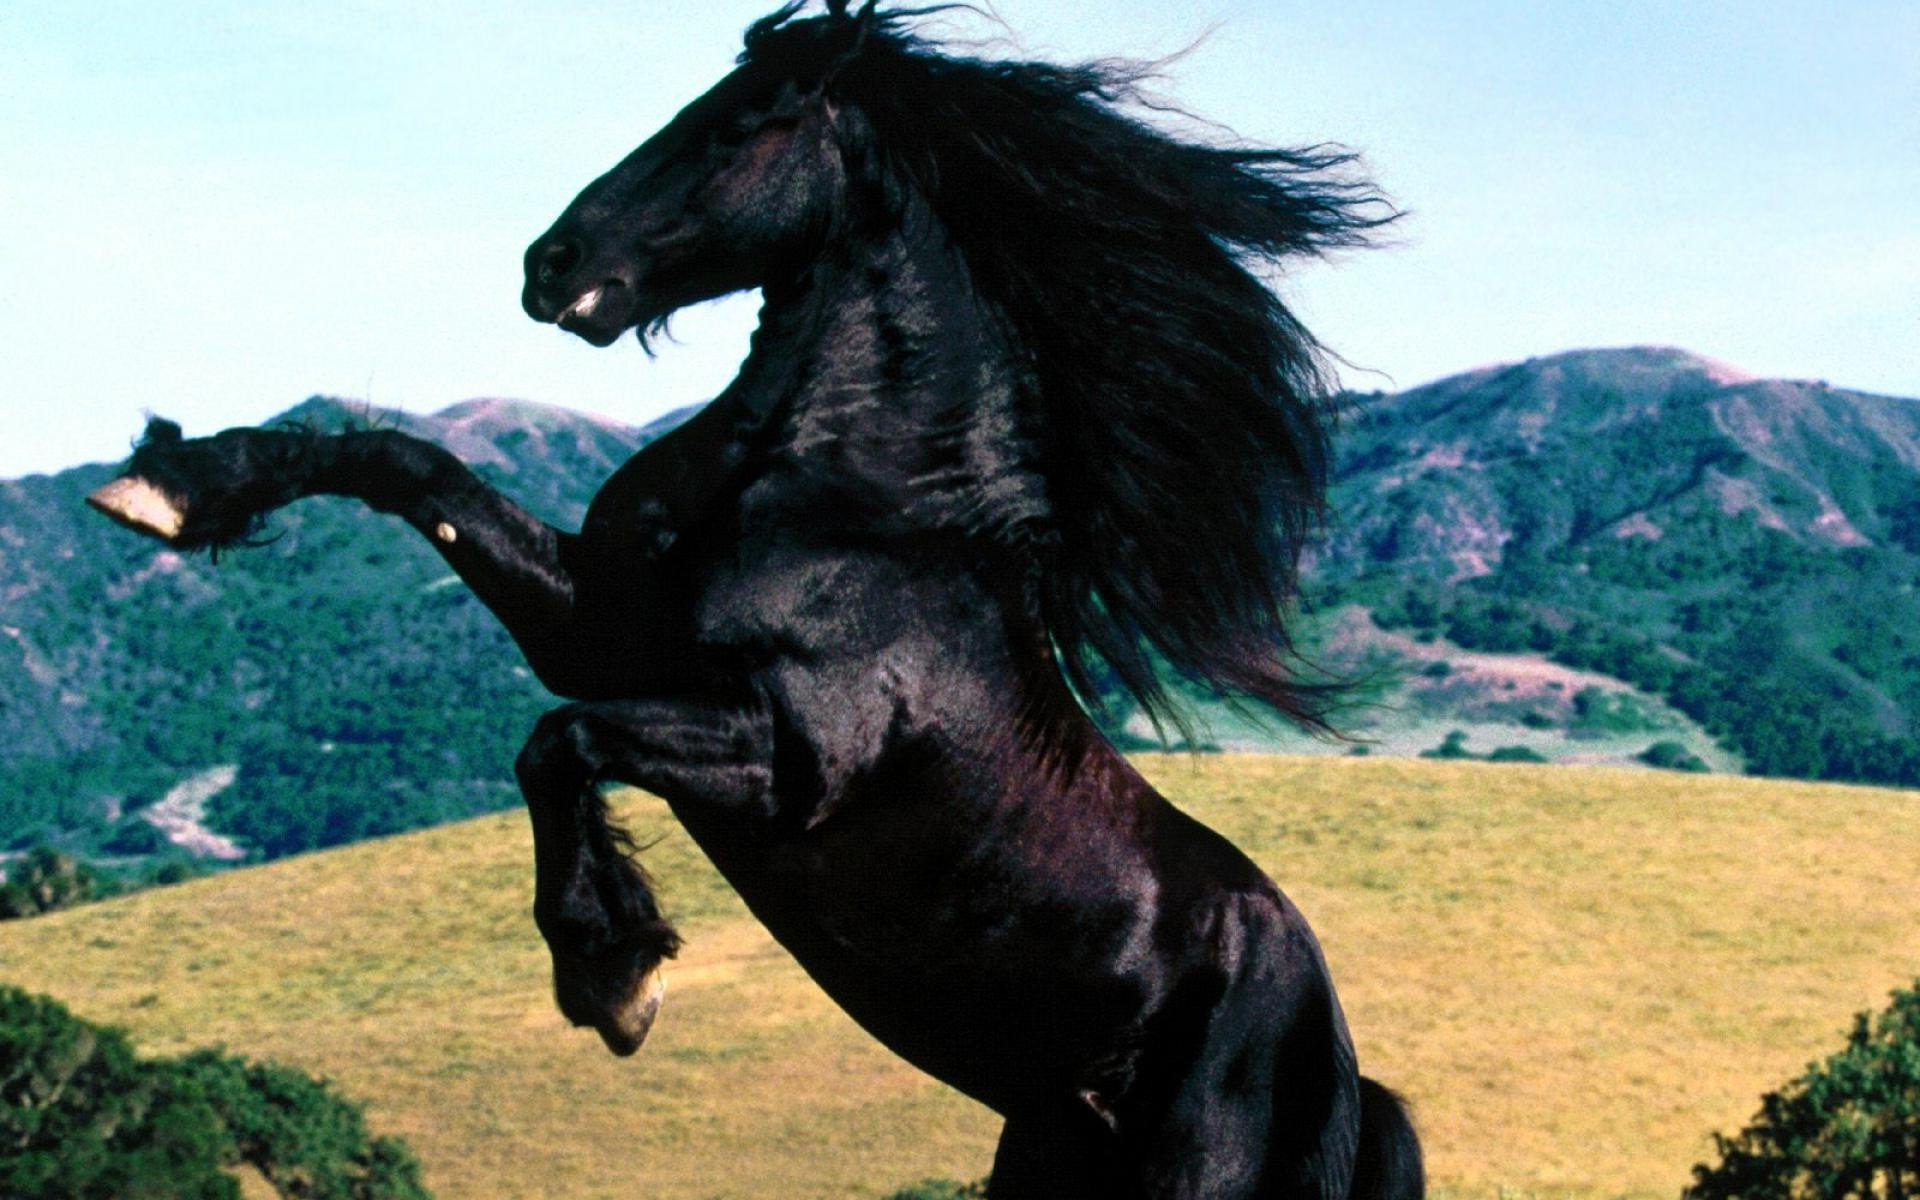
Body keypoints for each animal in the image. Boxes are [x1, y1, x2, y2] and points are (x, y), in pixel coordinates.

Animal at [97, 4, 1436, 1190]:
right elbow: (407, 469)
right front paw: (171, 487)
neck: (852, 505)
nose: (551, 265)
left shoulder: (784, 759)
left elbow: (560, 742)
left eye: (737, 125)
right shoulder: (595, 631)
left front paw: (615, 974)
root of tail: (1342, 1067)